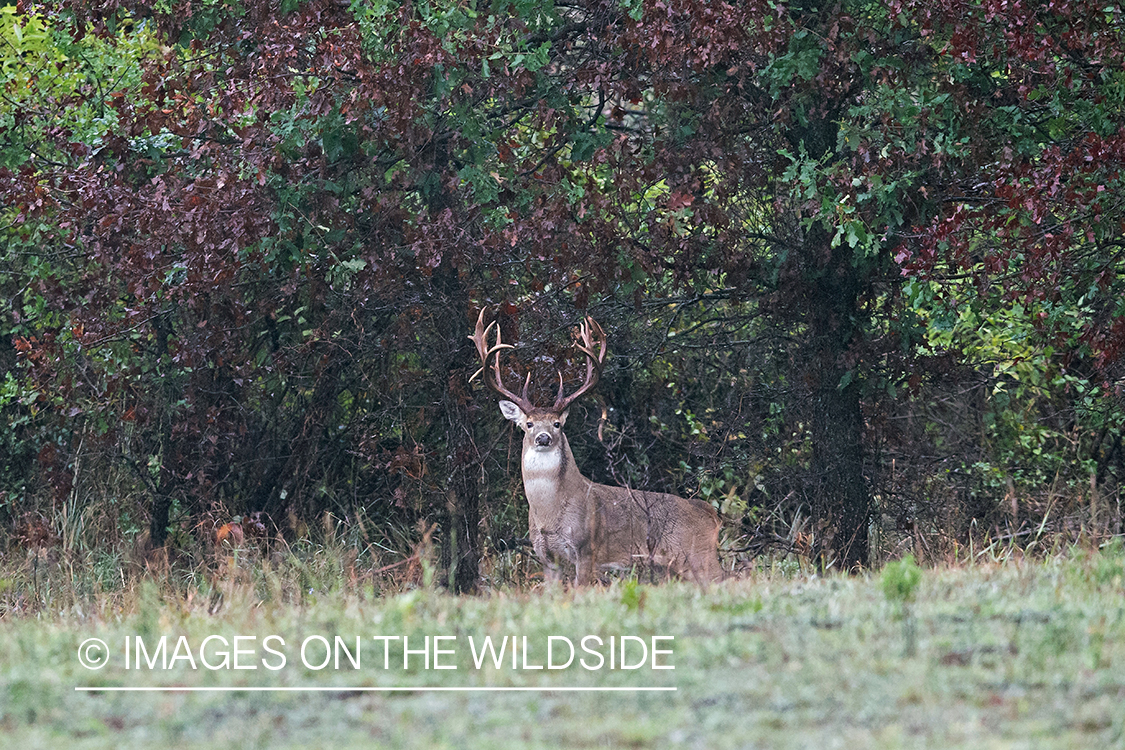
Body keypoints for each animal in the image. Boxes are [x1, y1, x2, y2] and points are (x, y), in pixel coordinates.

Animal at [468, 310, 720, 584]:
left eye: (557, 423)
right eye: (528, 424)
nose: (543, 438)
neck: (548, 515)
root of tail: (709, 513)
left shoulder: (586, 549)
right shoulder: (546, 555)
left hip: (699, 557)